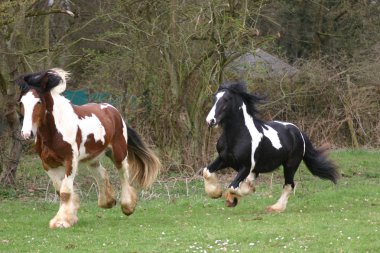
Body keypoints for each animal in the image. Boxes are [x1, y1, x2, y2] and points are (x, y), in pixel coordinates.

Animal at [15, 68, 159, 228]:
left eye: (39, 102)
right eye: (21, 102)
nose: (27, 133)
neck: (55, 131)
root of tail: (113, 110)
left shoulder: (70, 161)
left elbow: (65, 191)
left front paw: (62, 221)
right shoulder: (48, 164)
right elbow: (59, 189)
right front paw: (70, 216)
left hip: (119, 153)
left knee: (124, 174)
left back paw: (128, 206)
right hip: (92, 158)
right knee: (102, 173)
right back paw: (108, 201)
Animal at [203, 81, 340, 211]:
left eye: (226, 99)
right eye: (214, 98)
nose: (210, 121)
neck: (238, 135)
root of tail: (298, 132)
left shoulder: (246, 166)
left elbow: (233, 187)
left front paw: (233, 198)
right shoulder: (224, 159)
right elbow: (207, 172)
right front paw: (216, 193)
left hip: (290, 165)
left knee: (289, 185)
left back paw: (275, 208)